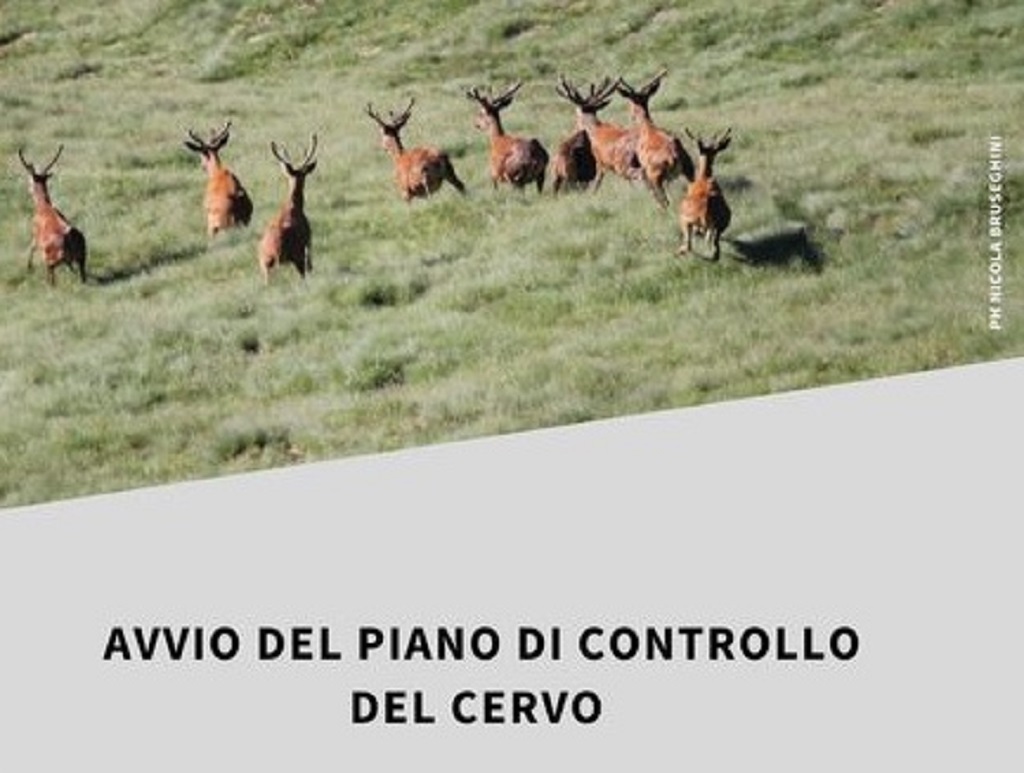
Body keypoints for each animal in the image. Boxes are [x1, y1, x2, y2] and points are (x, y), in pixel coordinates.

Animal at [17, 145, 87, 286]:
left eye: (29, 181)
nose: (28, 189)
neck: (42, 207)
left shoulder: (35, 233)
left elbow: (31, 247)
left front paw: (28, 268)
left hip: (50, 258)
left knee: (52, 277)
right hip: (83, 254)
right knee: (82, 274)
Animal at [258, 135, 318, 284]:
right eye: (303, 175)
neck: (294, 206)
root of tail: (274, 253)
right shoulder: (308, 239)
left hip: (263, 266)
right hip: (296, 256)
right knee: (302, 273)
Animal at [615, 70, 695, 209]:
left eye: (630, 101)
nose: (630, 115)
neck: (646, 127)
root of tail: (673, 157)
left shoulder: (644, 169)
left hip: (655, 176)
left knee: (664, 202)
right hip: (689, 167)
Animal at [679, 128, 732, 262]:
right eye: (714, 153)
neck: (703, 177)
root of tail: (704, 214)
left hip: (684, 219)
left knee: (689, 245)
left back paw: (679, 251)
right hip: (725, 219)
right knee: (715, 245)